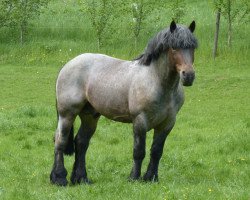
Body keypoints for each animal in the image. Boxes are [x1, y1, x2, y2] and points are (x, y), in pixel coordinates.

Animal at [49, 20, 198, 186]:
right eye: (174, 47)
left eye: (192, 47)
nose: (188, 75)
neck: (156, 81)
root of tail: (67, 65)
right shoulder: (140, 121)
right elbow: (139, 151)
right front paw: (134, 177)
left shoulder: (167, 123)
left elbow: (156, 151)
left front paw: (151, 178)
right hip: (67, 114)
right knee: (60, 141)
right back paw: (59, 178)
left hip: (90, 116)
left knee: (81, 142)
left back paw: (81, 178)